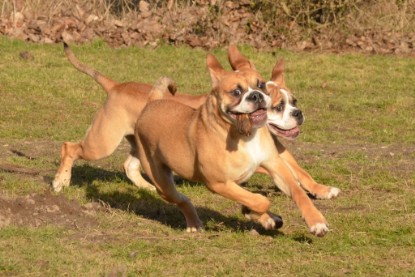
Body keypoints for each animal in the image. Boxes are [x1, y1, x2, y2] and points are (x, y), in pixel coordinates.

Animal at [136, 52, 332, 235]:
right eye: (236, 92)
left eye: (260, 85)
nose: (256, 95)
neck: (245, 135)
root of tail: (152, 103)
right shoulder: (219, 183)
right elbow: (260, 200)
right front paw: (257, 212)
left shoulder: (276, 165)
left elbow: (298, 189)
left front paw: (316, 220)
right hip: (163, 184)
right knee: (182, 200)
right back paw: (194, 223)